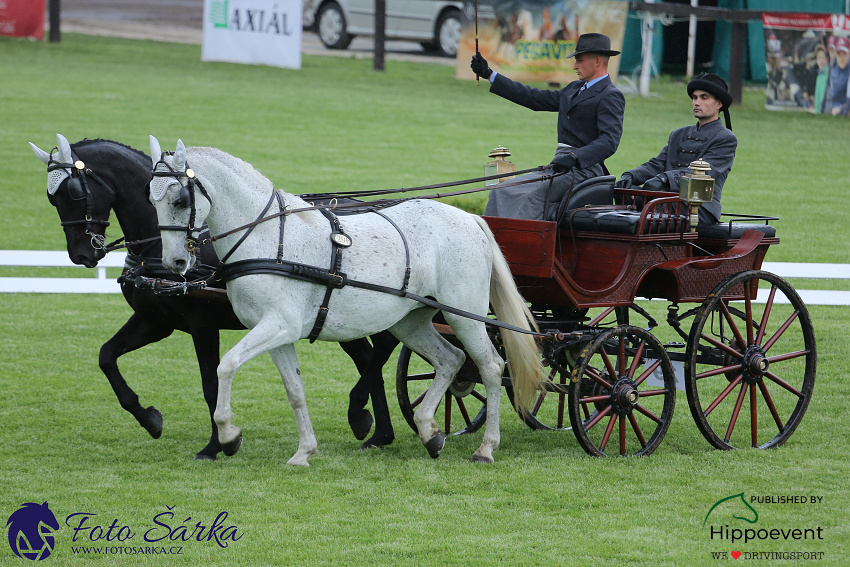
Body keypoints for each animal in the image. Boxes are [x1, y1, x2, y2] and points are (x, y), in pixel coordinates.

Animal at [31, 135, 400, 460]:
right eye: (51, 198)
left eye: (74, 193)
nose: (82, 254)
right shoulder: (155, 321)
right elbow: (107, 357)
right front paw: (150, 419)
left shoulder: (202, 324)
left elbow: (210, 382)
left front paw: (217, 445)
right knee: (372, 357)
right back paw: (378, 432)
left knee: (379, 351)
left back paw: (363, 418)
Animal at [147, 138, 544, 466]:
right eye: (152, 200)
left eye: (180, 200)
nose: (175, 263)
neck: (267, 238)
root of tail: (469, 217)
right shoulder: (278, 333)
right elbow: (295, 390)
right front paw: (304, 451)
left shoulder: (278, 325)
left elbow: (226, 366)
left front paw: (229, 436)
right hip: (411, 320)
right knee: (451, 359)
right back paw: (429, 432)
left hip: (466, 316)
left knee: (490, 367)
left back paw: (486, 448)